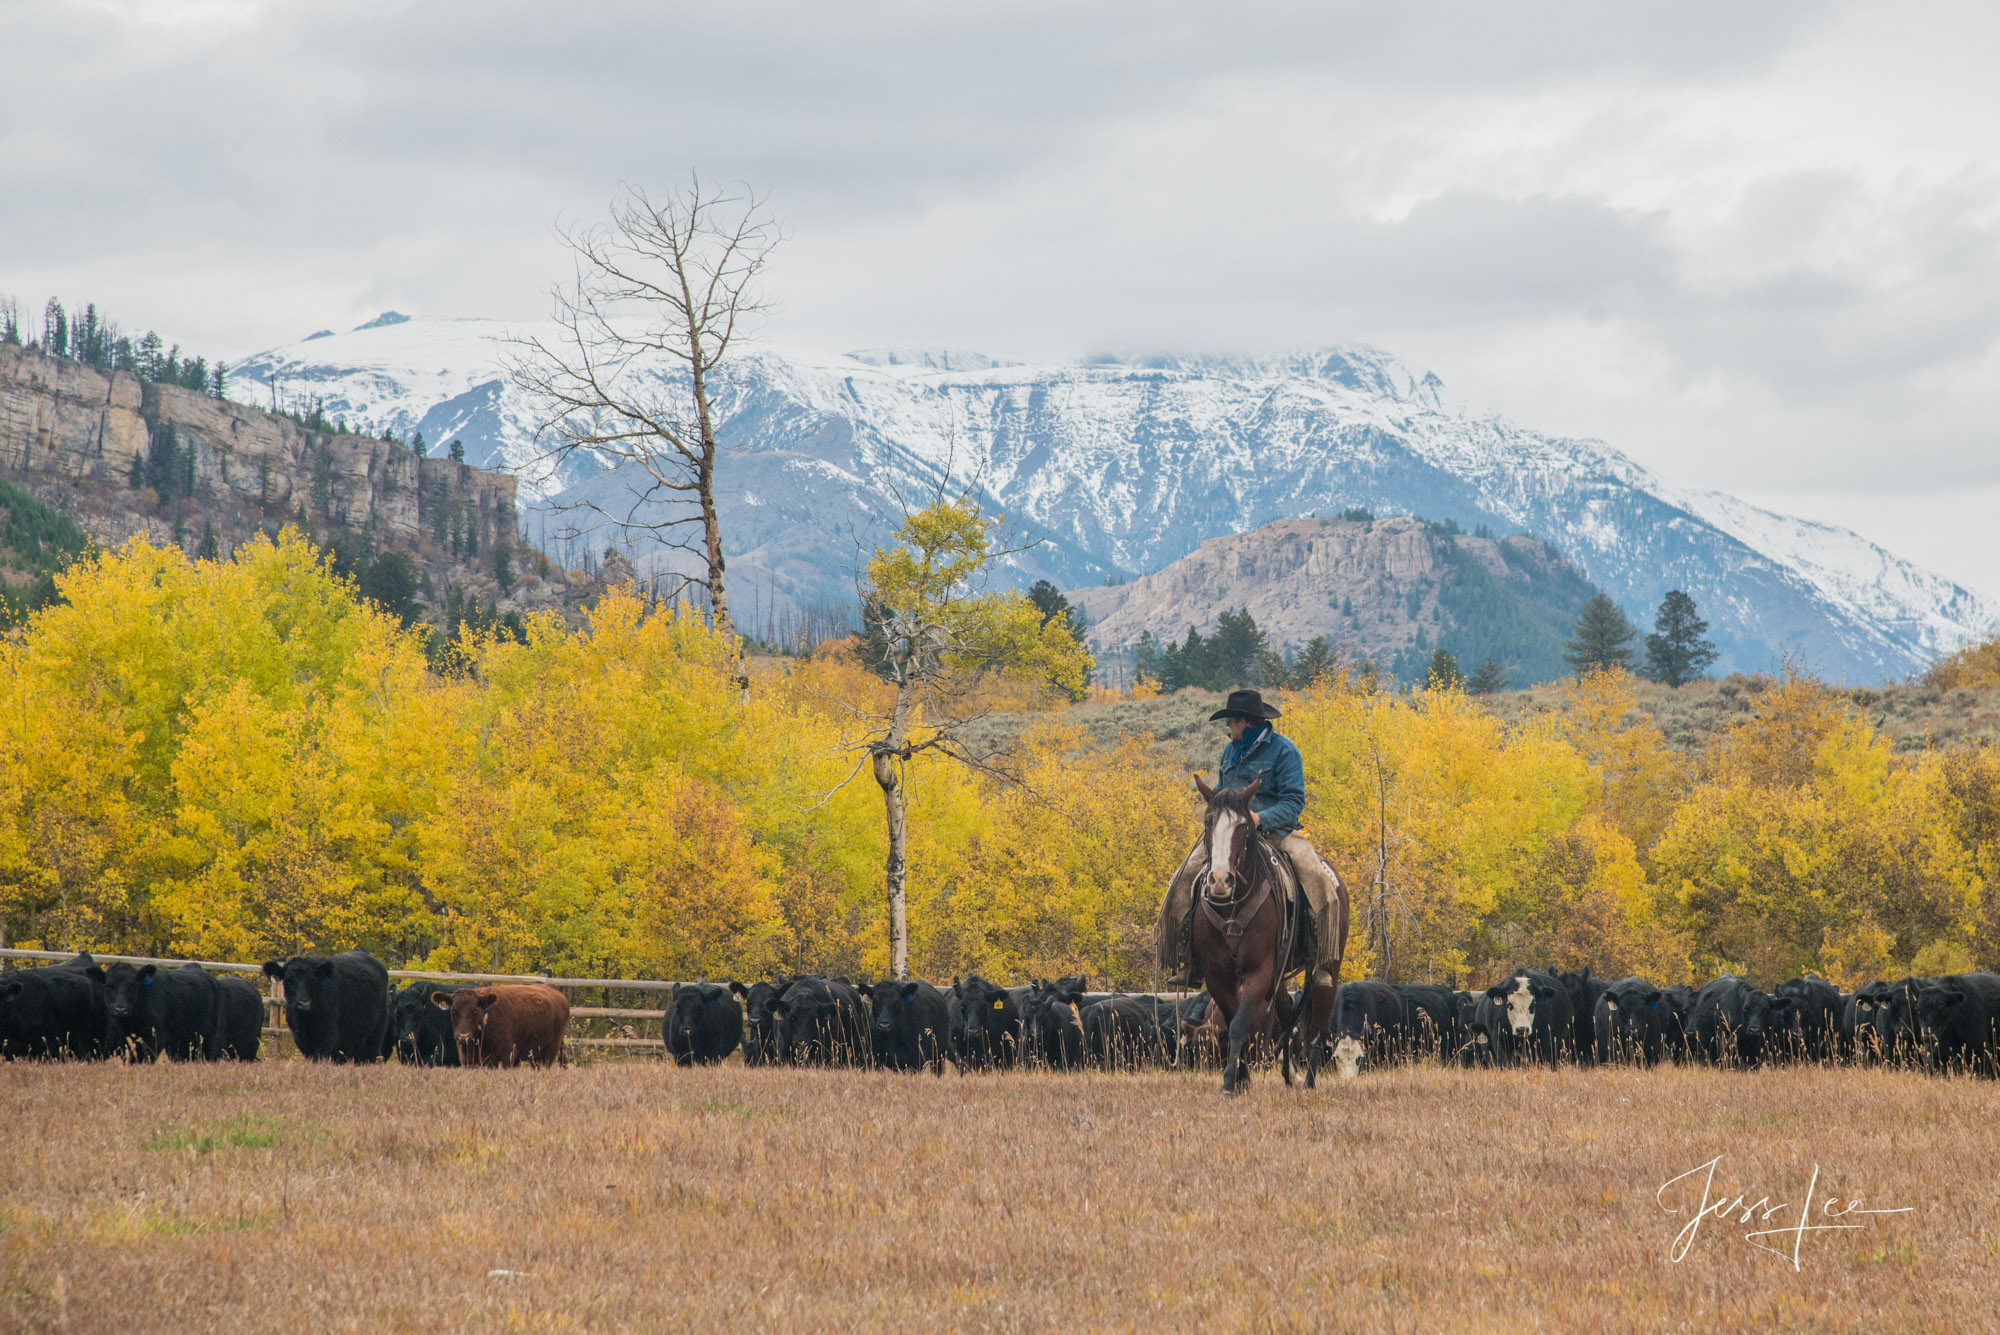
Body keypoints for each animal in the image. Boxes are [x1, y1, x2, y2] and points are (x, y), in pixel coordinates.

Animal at [264, 947, 392, 1063]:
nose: (304, 1003)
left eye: (312, 980)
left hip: (375, 1035)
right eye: (288, 980)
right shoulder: (300, 1039)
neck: (305, 1020)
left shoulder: (327, 1037)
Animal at [432, 979, 572, 1063]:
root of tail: (551, 987)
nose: (463, 1036)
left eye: (475, 1011)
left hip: (547, 1055)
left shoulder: (506, 1057)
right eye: (453, 1011)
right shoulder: (469, 1059)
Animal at [1184, 771, 1344, 1095]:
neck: (1231, 908)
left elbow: (1240, 1023)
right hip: (1278, 978)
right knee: (1286, 1016)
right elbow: (1235, 1021)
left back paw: (1308, 1081)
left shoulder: (1259, 971)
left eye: (1244, 825)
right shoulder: (1217, 974)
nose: (1220, 880)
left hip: (1327, 971)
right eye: (1208, 822)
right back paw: (1289, 1076)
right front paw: (1240, 1079)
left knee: (1317, 1029)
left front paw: (1229, 1083)